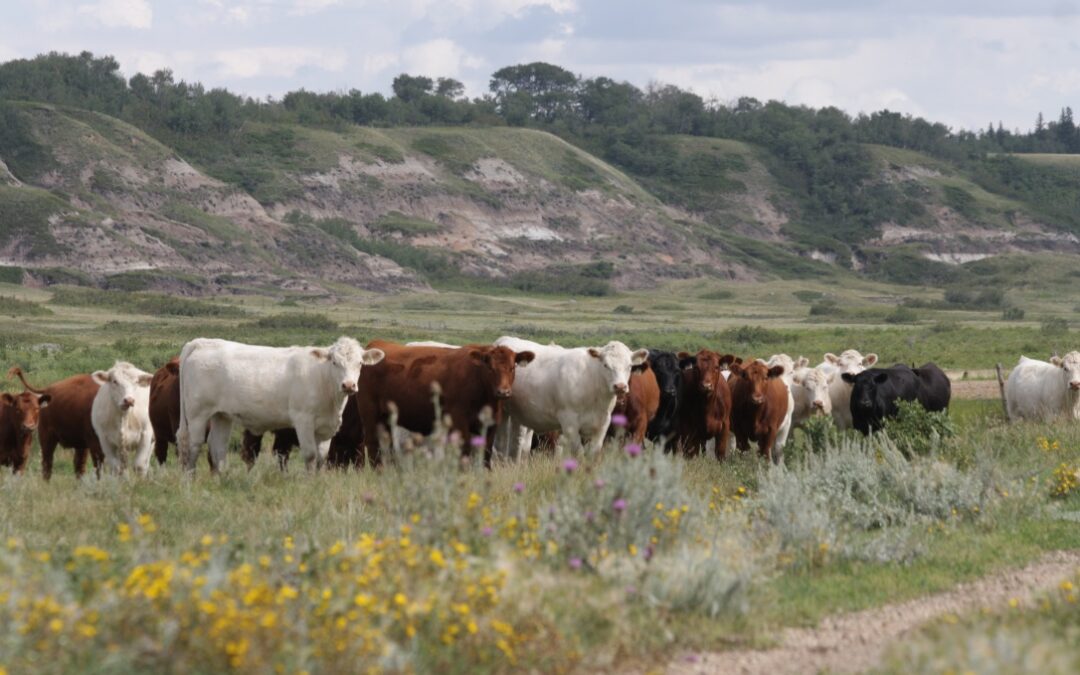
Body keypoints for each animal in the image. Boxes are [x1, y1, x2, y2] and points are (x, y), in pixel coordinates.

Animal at [182, 334, 388, 470]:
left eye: (360, 363)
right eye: (334, 362)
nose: (348, 385)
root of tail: (202, 342)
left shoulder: (326, 427)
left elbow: (321, 458)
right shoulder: (303, 420)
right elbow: (310, 455)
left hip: (221, 415)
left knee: (217, 446)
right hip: (197, 413)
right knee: (192, 445)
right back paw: (189, 483)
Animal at [358, 339, 535, 466]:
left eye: (512, 368)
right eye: (490, 368)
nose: (503, 392)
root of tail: (378, 344)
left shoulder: (491, 425)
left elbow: (485, 454)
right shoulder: (459, 421)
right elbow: (464, 452)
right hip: (369, 412)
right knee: (372, 445)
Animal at [494, 336, 643, 457]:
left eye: (630, 366)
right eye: (605, 365)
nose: (620, 386)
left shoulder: (602, 424)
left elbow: (593, 453)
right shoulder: (569, 423)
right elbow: (579, 453)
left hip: (518, 416)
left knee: (517, 443)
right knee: (501, 444)